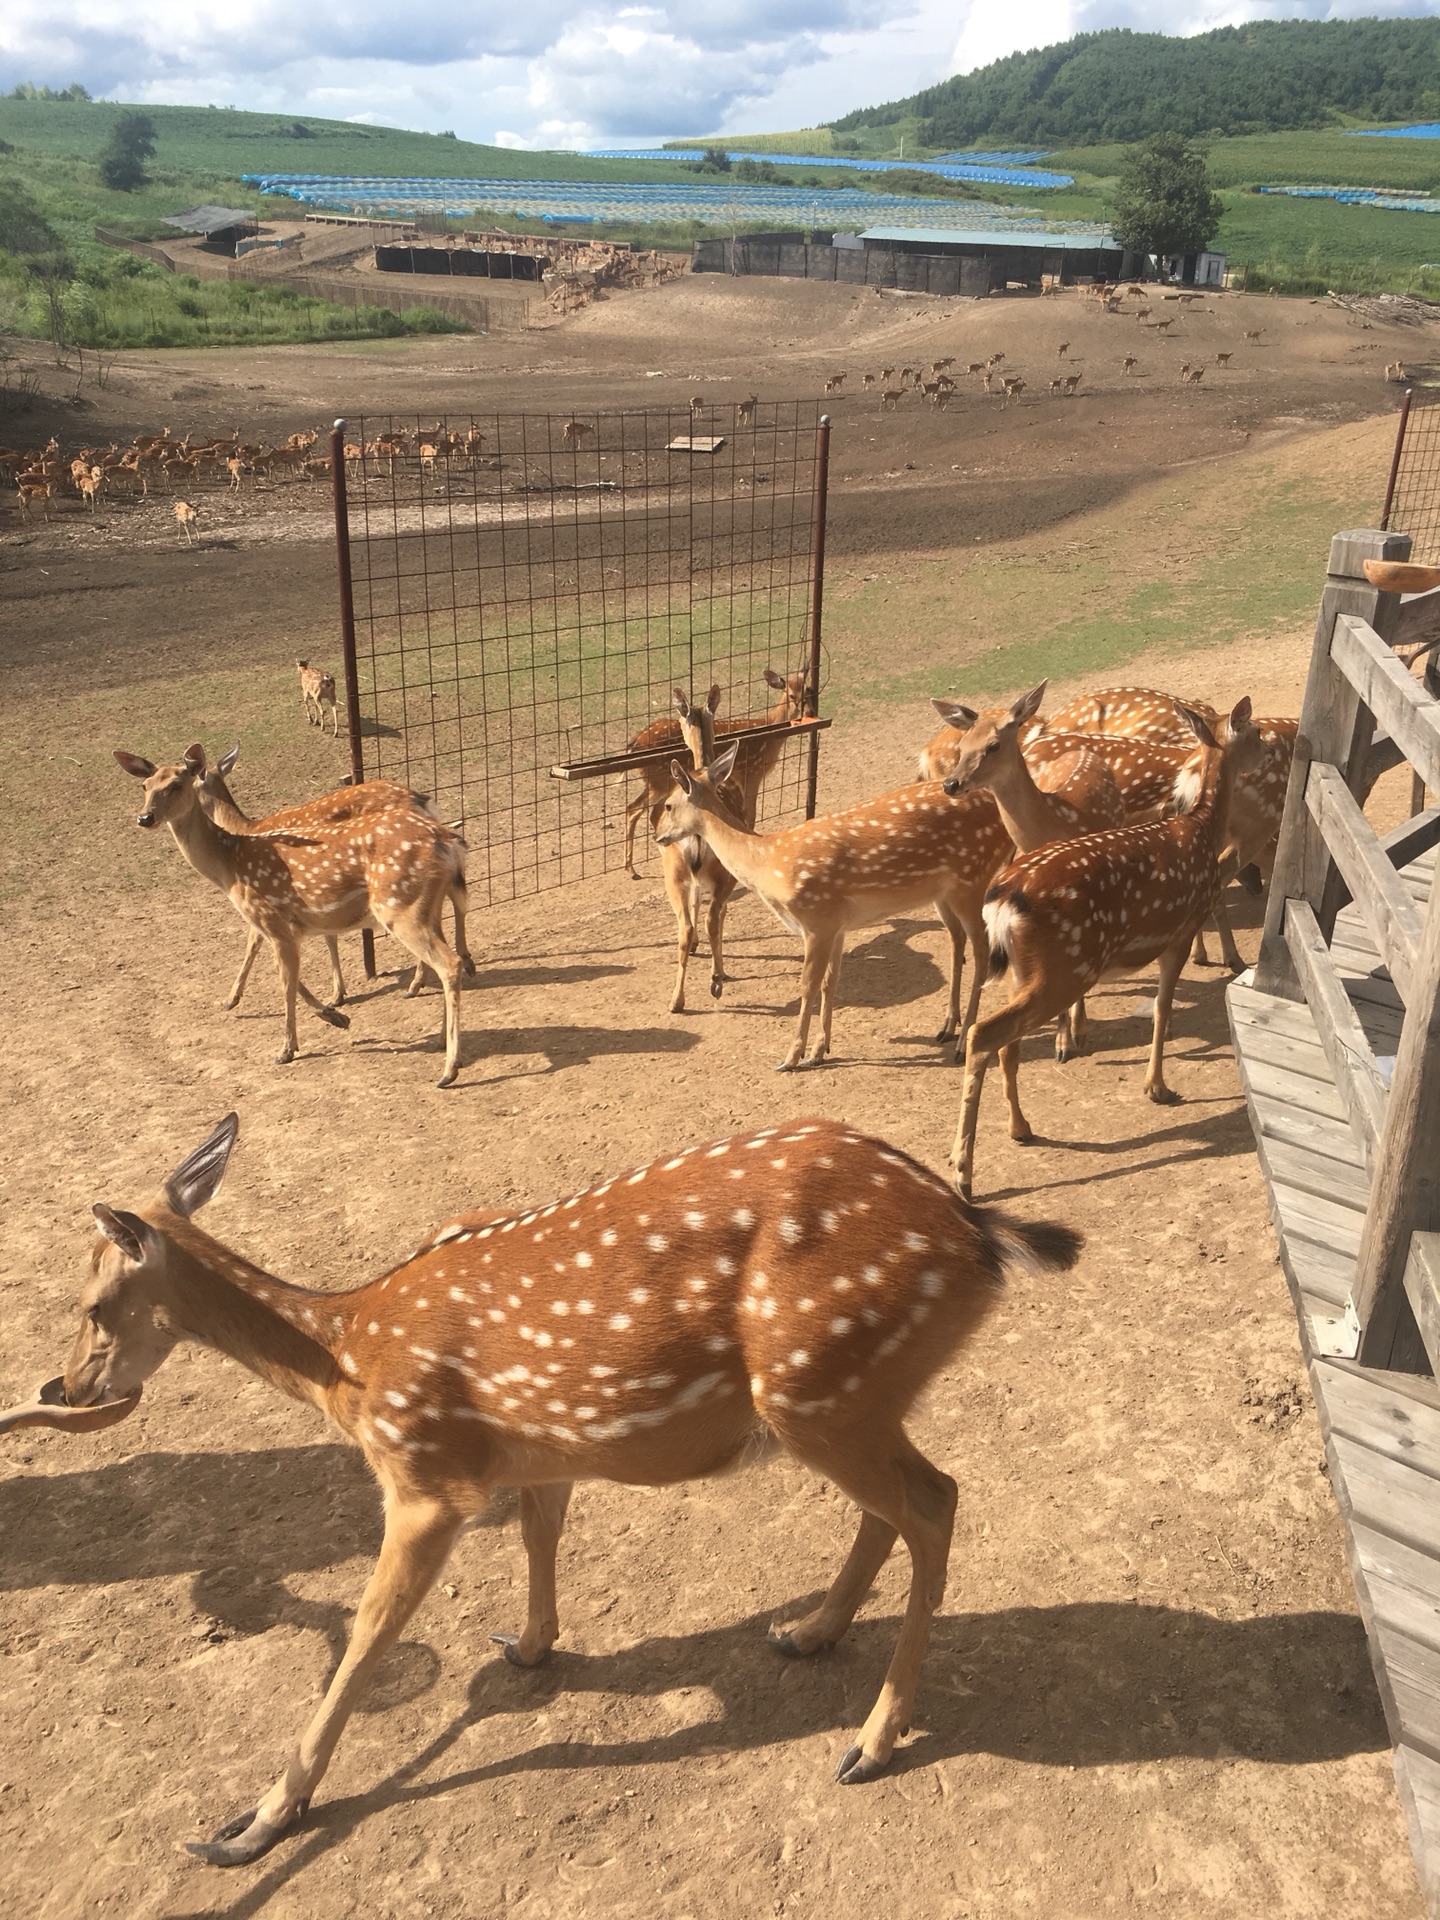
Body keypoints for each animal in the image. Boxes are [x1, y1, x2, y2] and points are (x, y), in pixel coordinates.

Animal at [2, 1113, 1082, 1858]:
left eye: (93, 1304)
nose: (68, 1389)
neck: (349, 1360)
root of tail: (978, 1234)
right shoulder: (539, 1453)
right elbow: (538, 1536)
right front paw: (528, 1647)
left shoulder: (426, 1476)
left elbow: (365, 1637)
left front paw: (254, 1822)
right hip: (839, 1399)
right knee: (895, 1506)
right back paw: (809, 1631)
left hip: (820, 1380)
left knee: (935, 1501)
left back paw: (874, 1740)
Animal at [117, 744, 470, 1090]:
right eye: (145, 786)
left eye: (176, 785)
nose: (144, 817)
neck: (229, 866)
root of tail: (446, 839)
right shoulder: (287, 927)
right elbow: (294, 975)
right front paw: (336, 1016)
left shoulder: (270, 917)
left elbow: (284, 981)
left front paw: (286, 1049)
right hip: (427, 907)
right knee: (454, 927)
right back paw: (442, 1036)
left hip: (399, 905)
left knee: (448, 963)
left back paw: (448, 1068)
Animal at [656, 744, 1006, 1075]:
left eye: (668, 804)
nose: (660, 837)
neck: (770, 863)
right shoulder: (838, 924)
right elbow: (830, 982)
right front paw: (819, 1051)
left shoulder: (817, 918)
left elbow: (807, 985)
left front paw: (791, 1058)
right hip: (944, 894)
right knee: (958, 943)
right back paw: (947, 1028)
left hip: (972, 879)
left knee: (982, 955)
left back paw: (962, 1044)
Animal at [952, 698, 1267, 1190]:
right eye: (1254, 733)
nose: (1269, 754)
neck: (1200, 831)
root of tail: (1002, 899)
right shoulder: (1180, 929)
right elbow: (1162, 1007)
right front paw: (1157, 1087)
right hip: (1064, 966)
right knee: (986, 1034)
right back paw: (963, 1172)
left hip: (1026, 969)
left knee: (1007, 1043)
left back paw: (1020, 1128)